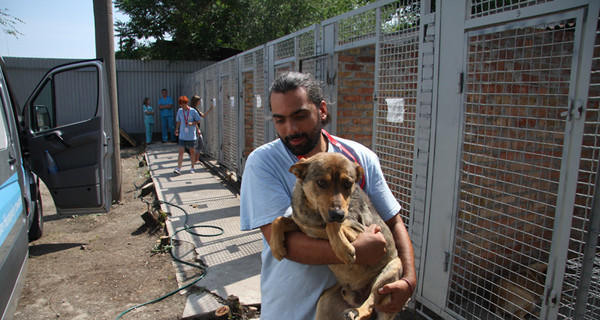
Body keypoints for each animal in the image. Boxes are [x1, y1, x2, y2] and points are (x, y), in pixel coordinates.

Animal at [268, 152, 400, 320]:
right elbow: (279, 220)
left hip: (390, 271)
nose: (338, 214)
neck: (314, 215)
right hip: (324, 303)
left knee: (371, 302)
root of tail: (355, 299)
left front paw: (344, 250)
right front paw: (276, 246)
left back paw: (357, 311)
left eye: (348, 184)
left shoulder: (361, 231)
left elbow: (331, 225)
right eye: (321, 182)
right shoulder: (301, 225)